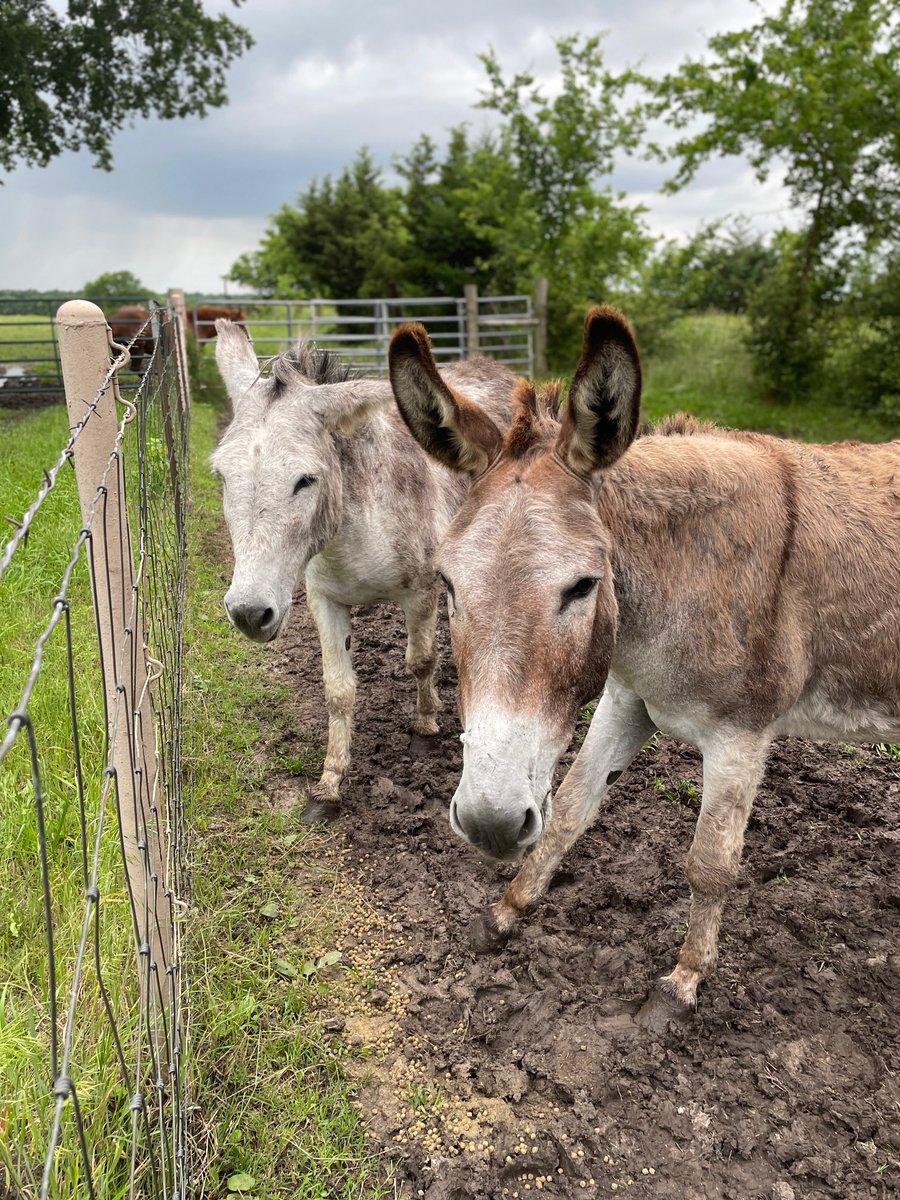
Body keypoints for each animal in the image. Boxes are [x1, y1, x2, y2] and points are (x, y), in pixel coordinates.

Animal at [211, 319, 516, 821]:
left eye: (305, 480)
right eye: (220, 476)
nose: (250, 614)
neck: (348, 535)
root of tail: (490, 365)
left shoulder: (421, 591)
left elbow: (420, 659)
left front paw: (425, 727)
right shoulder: (323, 599)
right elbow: (338, 691)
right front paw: (329, 784)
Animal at [388, 308, 900, 1029]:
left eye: (582, 586)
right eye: (447, 583)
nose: (490, 823)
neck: (687, 573)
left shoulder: (743, 735)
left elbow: (711, 863)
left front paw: (682, 983)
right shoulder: (626, 700)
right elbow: (571, 808)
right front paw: (507, 911)